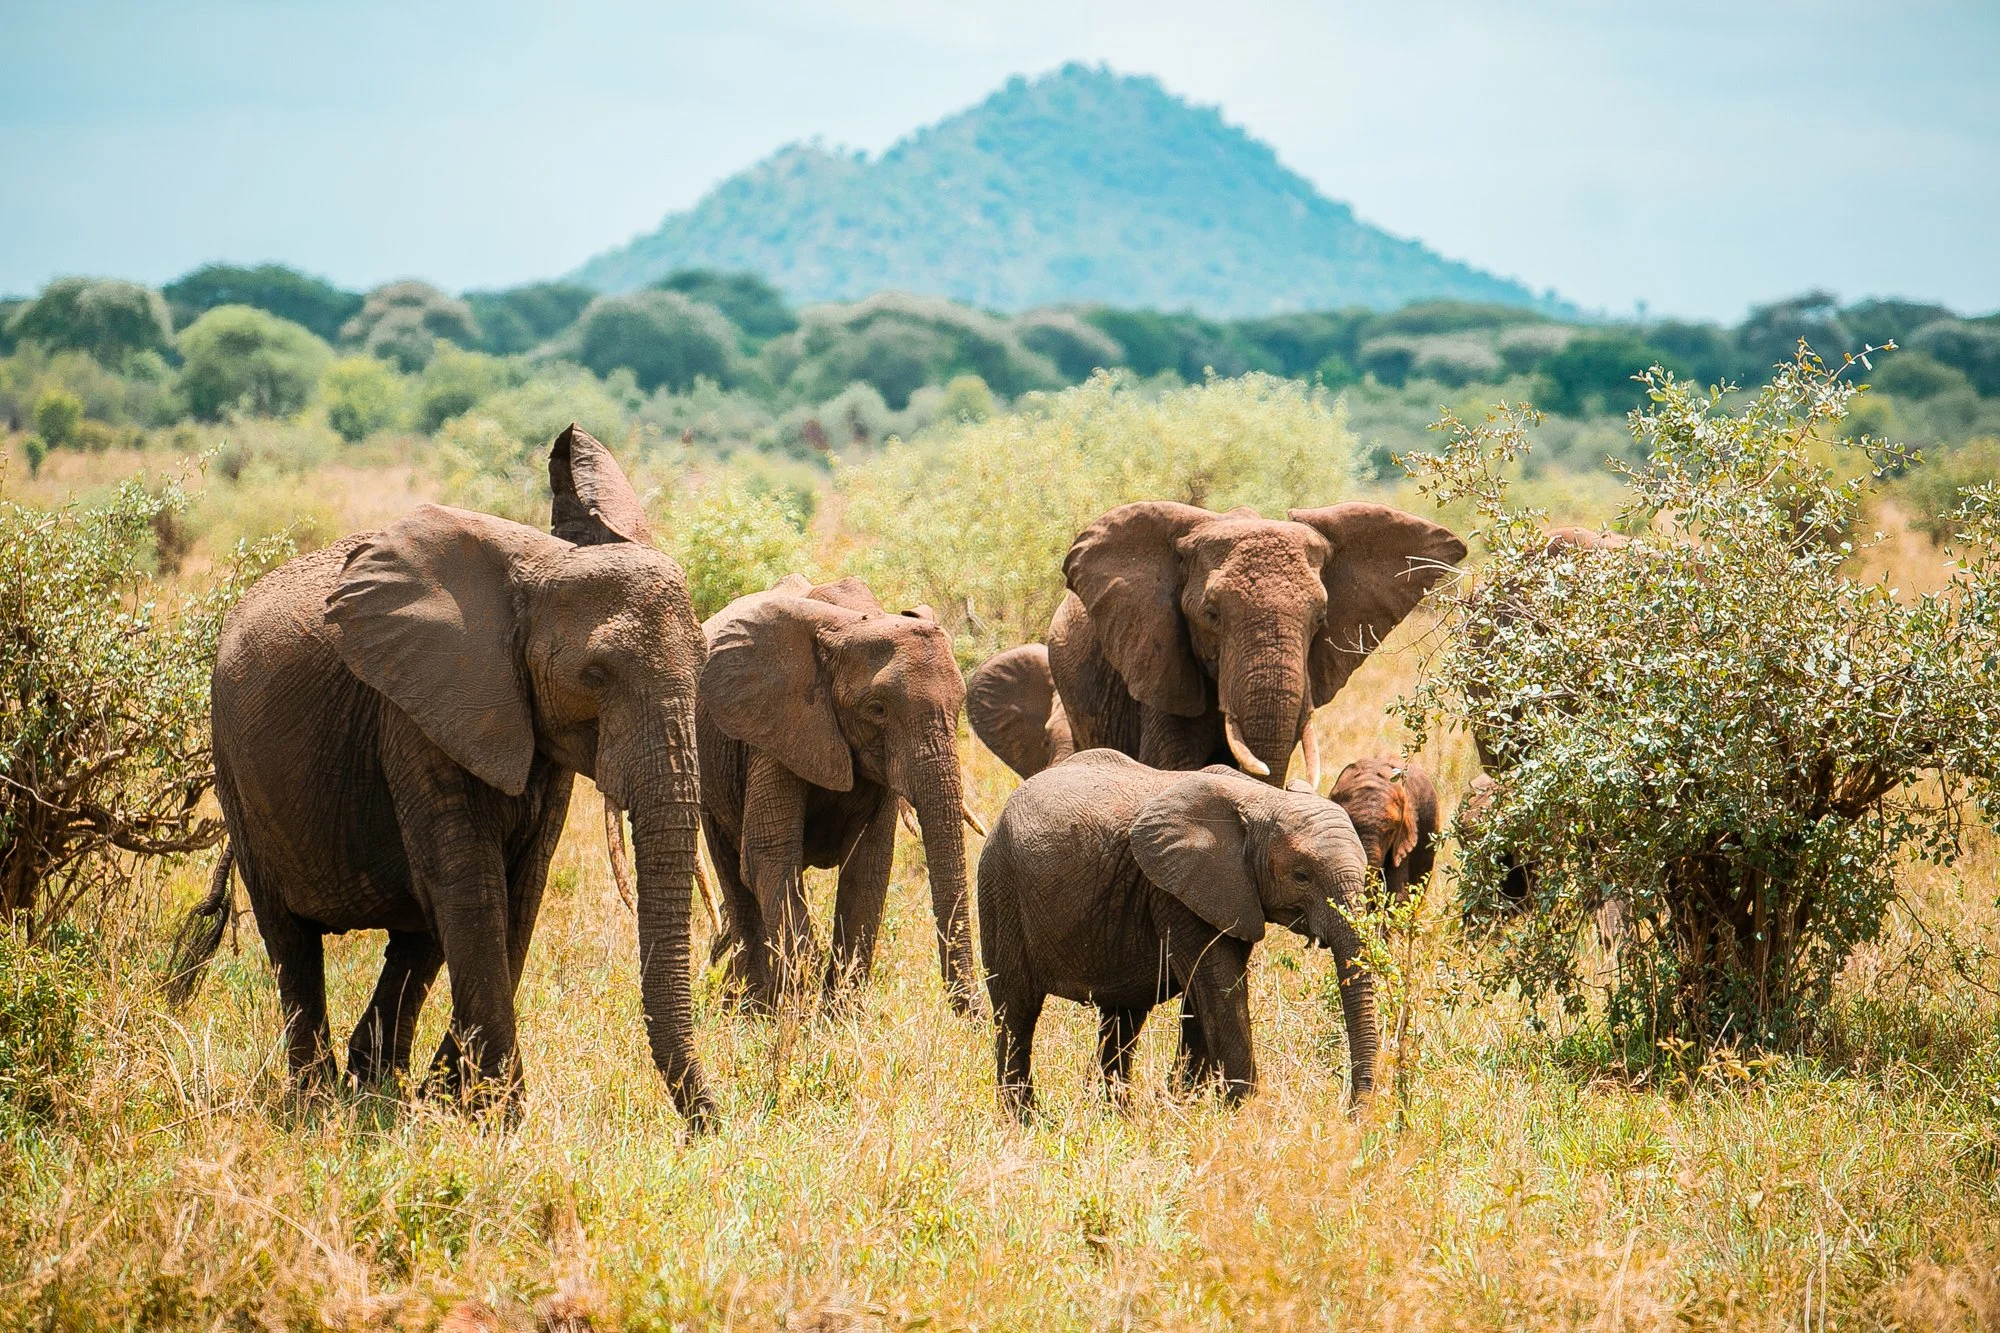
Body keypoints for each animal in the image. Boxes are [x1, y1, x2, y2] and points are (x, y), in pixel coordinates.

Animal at [166, 426, 715, 1126]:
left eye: (704, 662)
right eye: (595, 675)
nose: (711, 1127)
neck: (541, 570)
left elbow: (520, 893)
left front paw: (458, 1104)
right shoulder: (414, 712)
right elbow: (474, 889)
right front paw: (499, 1119)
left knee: (416, 939)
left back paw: (378, 1085)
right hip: (237, 770)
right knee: (293, 939)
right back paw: (320, 1100)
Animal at [697, 575, 982, 1013]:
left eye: (960, 704)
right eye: (877, 709)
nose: (980, 1016)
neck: (849, 624)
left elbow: (868, 867)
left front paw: (837, 1017)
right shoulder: (773, 729)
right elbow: (769, 856)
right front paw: (805, 999)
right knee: (737, 876)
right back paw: (748, 1009)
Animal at [977, 749, 1376, 1118]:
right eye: (1301, 876)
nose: (1354, 1115)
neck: (1261, 799)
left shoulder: (1228, 895)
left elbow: (1204, 1000)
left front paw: (1182, 1107)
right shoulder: (1176, 892)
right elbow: (1218, 988)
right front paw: (1240, 1112)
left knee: (1122, 1018)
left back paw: (1117, 1115)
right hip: (1001, 887)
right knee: (1016, 1011)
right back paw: (1024, 1119)